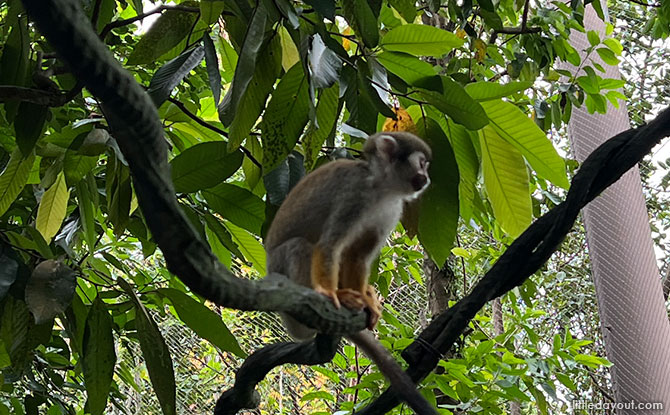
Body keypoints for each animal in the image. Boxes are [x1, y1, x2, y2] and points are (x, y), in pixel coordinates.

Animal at [266, 132, 434, 412]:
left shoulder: (393, 208)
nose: (427, 178)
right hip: (279, 269)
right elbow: (329, 245)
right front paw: (329, 293)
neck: (381, 187)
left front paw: (366, 301)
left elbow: (357, 255)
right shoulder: (354, 194)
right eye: (421, 164)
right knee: (300, 246)